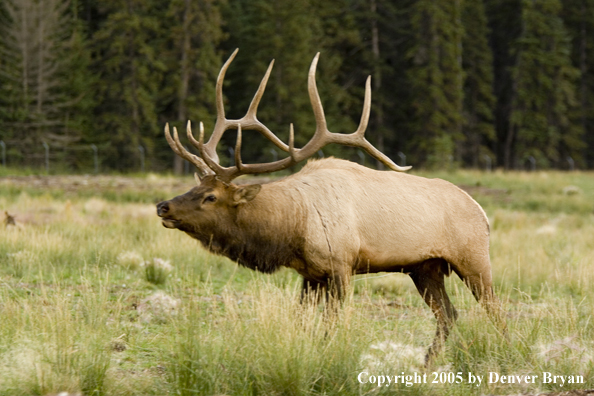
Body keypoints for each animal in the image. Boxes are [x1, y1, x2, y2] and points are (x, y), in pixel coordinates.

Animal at [157, 48, 504, 364]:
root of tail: (481, 211)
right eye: (195, 186)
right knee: (449, 314)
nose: (163, 207)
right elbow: (301, 321)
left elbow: (330, 325)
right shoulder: (310, 274)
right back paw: (427, 361)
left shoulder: (341, 265)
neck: (291, 228)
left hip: (473, 258)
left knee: (494, 309)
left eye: (211, 196)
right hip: (425, 267)